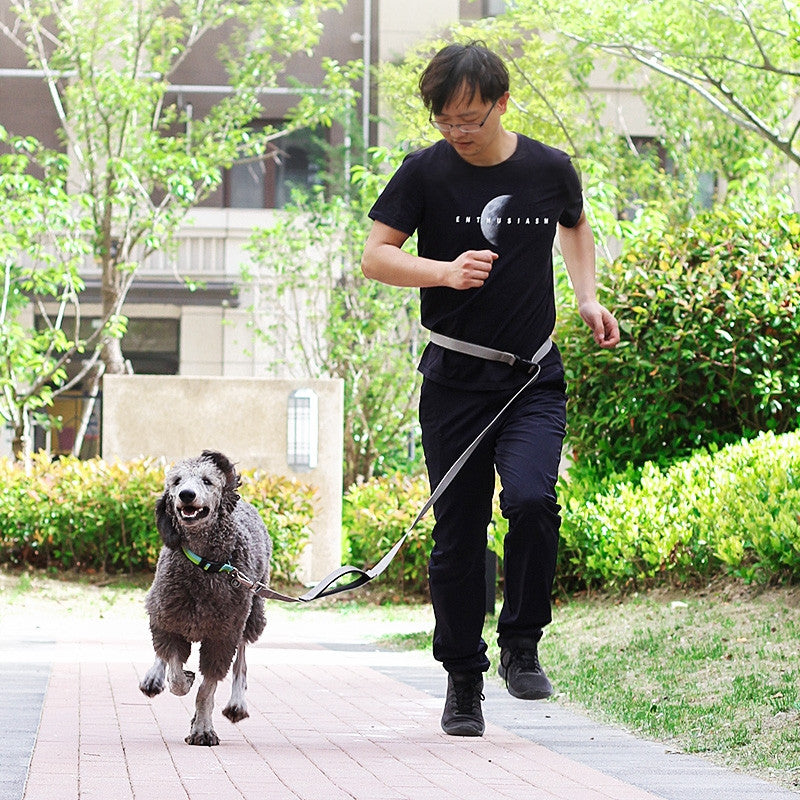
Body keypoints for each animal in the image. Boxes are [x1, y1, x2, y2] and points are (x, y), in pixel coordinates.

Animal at [138, 450, 272, 744]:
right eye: (176, 481)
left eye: (208, 481)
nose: (186, 495)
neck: (204, 564)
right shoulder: (170, 620)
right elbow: (175, 672)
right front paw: (182, 679)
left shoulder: (222, 635)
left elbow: (206, 689)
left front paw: (201, 728)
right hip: (158, 606)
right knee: (159, 649)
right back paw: (154, 678)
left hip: (253, 611)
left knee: (241, 660)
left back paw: (237, 703)